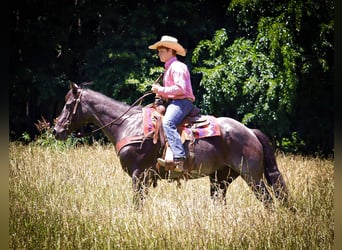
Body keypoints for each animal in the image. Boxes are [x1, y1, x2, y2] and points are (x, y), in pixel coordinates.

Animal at [53, 83, 288, 208]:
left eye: (68, 104)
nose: (56, 130)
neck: (128, 125)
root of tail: (250, 132)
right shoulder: (145, 178)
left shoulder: (138, 175)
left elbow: (137, 203)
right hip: (220, 178)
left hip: (253, 176)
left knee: (268, 200)